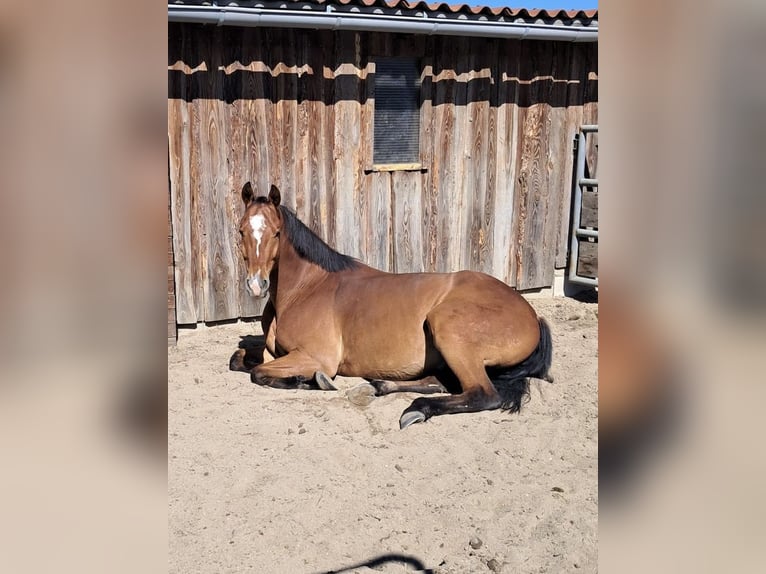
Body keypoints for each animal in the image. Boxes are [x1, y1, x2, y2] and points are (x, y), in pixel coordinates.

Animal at [230, 182, 553, 429]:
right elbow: (239, 359)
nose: (256, 285)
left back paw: (416, 409)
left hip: (449, 330)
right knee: (440, 382)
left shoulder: (317, 357)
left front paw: (311, 381)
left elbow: (259, 373)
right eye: (241, 230)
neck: (305, 290)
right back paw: (376, 386)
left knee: (481, 394)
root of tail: (532, 315)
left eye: (276, 233)